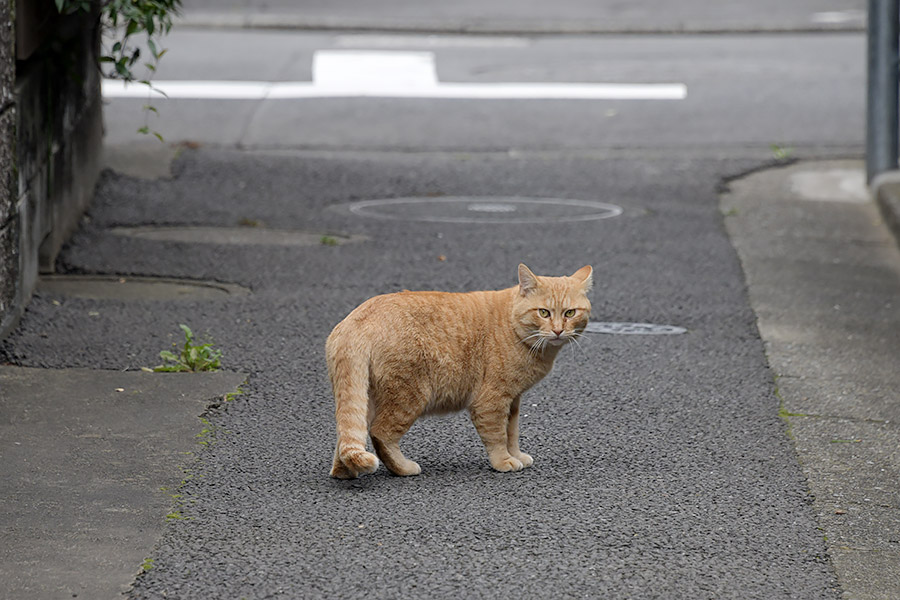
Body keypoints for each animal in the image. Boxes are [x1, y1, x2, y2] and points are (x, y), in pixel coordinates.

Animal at [324, 264, 592, 480]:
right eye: (543, 312)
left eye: (570, 313)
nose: (557, 331)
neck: (512, 325)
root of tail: (355, 320)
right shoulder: (492, 401)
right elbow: (497, 436)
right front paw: (504, 461)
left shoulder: (513, 400)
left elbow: (512, 432)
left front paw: (516, 455)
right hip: (410, 396)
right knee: (380, 433)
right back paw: (403, 468)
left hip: (364, 397)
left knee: (347, 436)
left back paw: (345, 472)